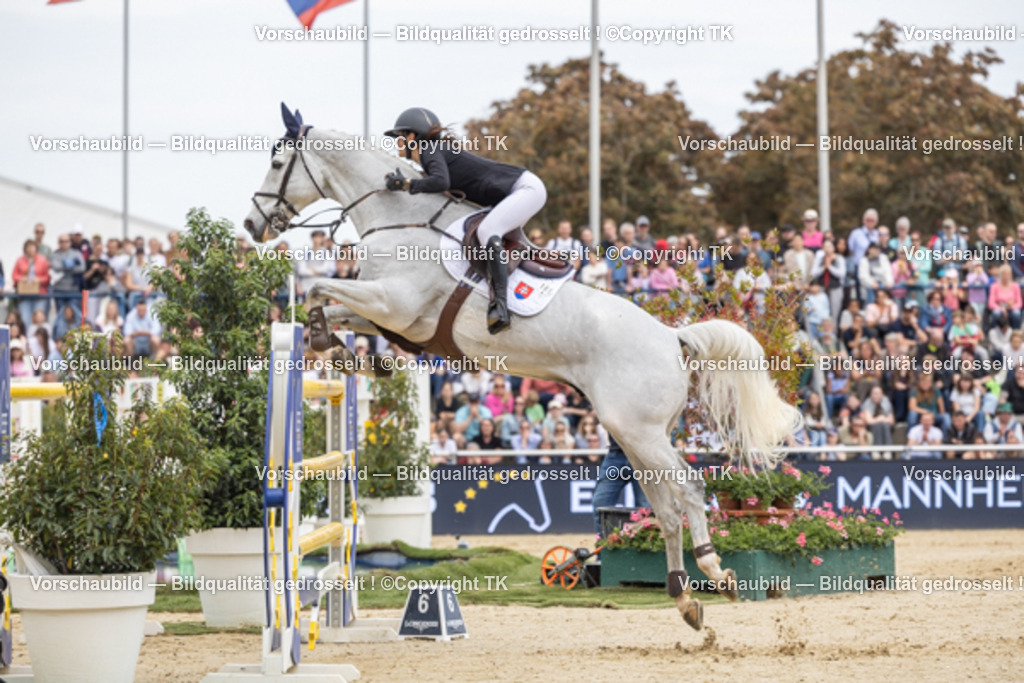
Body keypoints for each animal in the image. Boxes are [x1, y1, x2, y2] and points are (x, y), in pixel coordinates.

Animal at [243, 107, 802, 630]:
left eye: (276, 163)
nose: (251, 225)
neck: (397, 215)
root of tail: (672, 337)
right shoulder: (394, 316)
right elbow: (332, 307)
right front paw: (347, 351)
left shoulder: (393, 303)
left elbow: (319, 290)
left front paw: (329, 342)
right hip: (635, 434)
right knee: (665, 508)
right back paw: (683, 598)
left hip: (638, 430)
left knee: (688, 489)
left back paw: (716, 574)